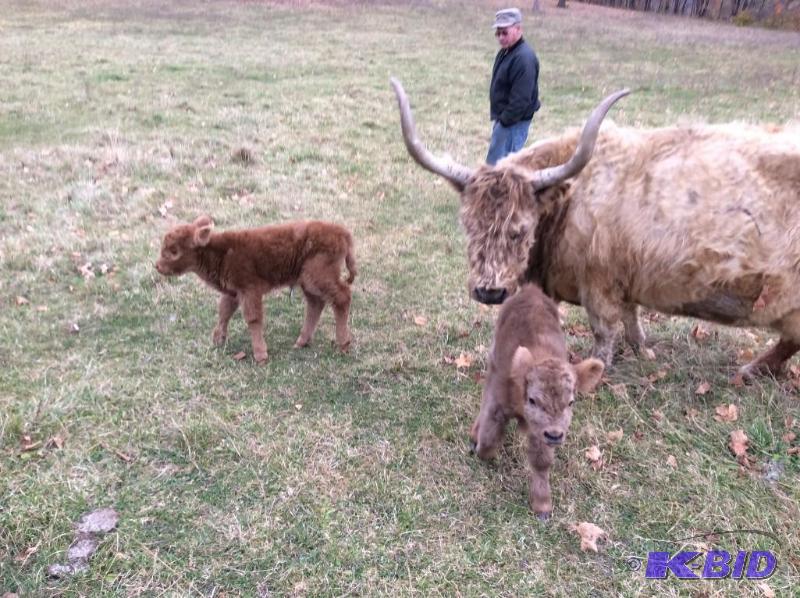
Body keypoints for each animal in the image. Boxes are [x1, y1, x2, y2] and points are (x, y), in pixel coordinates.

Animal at [155, 216, 356, 363]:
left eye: (174, 251)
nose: (157, 266)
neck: (222, 252)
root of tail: (343, 233)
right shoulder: (234, 292)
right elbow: (224, 311)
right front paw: (217, 340)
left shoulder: (249, 290)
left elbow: (253, 318)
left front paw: (260, 355)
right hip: (308, 282)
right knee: (316, 304)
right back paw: (301, 341)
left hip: (319, 276)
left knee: (342, 297)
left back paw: (343, 344)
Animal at [390, 77, 800, 378]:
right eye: (468, 225)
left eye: (521, 229)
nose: (489, 292)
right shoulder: (627, 278)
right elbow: (632, 317)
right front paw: (643, 350)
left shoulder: (599, 283)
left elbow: (605, 330)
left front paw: (597, 368)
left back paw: (751, 370)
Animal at [470, 284, 604, 518]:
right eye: (532, 400)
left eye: (571, 402)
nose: (555, 435)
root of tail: (530, 290)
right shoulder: (497, 406)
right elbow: (489, 440)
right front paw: (480, 448)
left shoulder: (541, 431)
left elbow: (541, 461)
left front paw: (542, 506)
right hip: (493, 362)